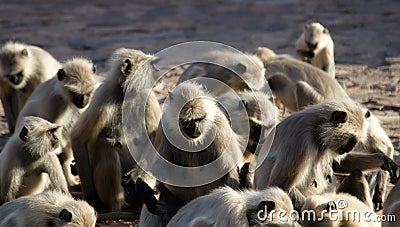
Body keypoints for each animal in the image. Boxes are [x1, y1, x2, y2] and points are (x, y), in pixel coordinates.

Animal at [70, 48, 161, 213]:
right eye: (150, 67)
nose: (158, 71)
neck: (127, 94)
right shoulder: (103, 96)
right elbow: (78, 138)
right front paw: (93, 200)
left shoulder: (149, 98)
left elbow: (156, 138)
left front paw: (136, 174)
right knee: (107, 147)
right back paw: (118, 206)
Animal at [255, 99, 398, 209]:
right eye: (352, 141)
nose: (349, 149)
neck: (315, 129)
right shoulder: (300, 140)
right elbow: (280, 185)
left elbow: (338, 164)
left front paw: (385, 161)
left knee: (356, 174)